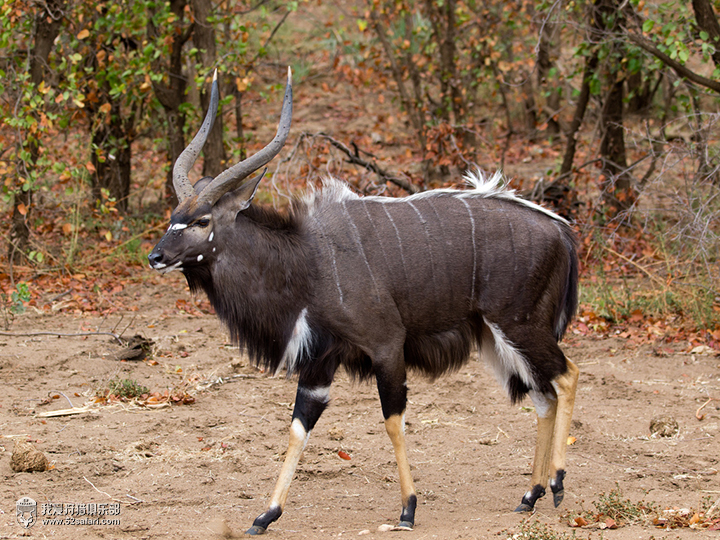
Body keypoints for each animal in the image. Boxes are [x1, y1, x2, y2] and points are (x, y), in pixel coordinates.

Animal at [148, 68, 580, 536]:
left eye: (201, 220)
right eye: (173, 215)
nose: (155, 257)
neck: (307, 260)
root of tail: (562, 233)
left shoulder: (386, 346)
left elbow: (392, 420)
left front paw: (408, 509)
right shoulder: (319, 363)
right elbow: (298, 426)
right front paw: (265, 515)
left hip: (518, 325)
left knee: (567, 376)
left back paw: (556, 482)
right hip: (498, 337)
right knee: (543, 396)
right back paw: (529, 495)